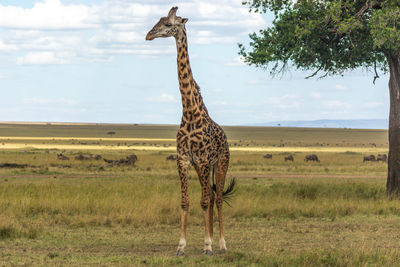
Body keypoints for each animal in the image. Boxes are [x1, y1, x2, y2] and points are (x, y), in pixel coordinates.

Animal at [146, 6, 234, 258]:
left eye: (168, 24)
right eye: (158, 20)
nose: (148, 35)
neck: (189, 112)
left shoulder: (204, 160)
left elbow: (203, 202)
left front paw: (207, 245)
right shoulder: (184, 159)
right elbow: (185, 202)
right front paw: (182, 246)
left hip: (221, 162)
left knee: (217, 198)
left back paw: (221, 245)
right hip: (201, 166)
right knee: (212, 195)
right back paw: (213, 240)